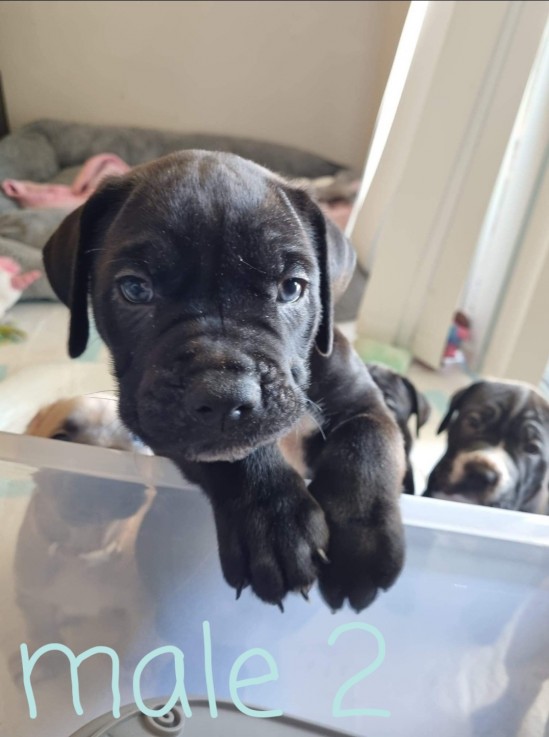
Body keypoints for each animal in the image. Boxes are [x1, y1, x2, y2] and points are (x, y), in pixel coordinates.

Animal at [42, 150, 404, 608]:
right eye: (135, 289)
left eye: (292, 288)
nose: (224, 398)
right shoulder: (169, 427)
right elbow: (236, 455)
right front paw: (276, 523)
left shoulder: (361, 401)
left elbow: (366, 442)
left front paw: (361, 546)